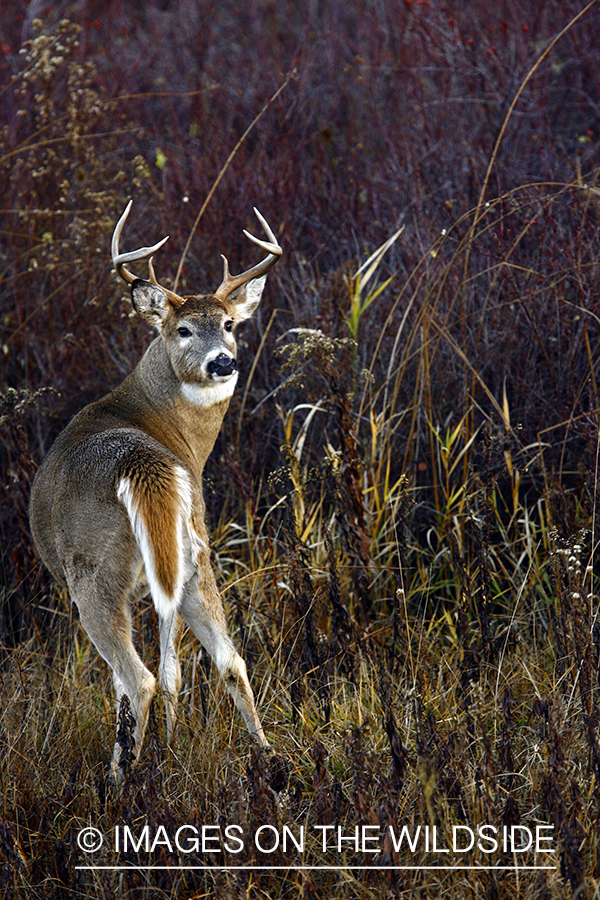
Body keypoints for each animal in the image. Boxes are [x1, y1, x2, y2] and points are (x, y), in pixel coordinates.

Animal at [28, 202, 282, 780]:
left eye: (229, 324)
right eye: (183, 328)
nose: (223, 360)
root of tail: (143, 464)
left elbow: (137, 681)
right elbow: (177, 672)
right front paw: (173, 742)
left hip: (93, 570)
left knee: (135, 677)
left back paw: (120, 781)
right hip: (196, 553)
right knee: (229, 659)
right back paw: (271, 760)